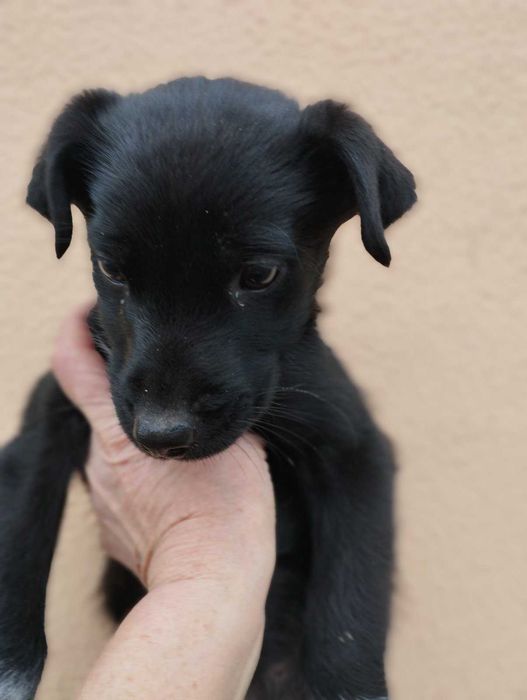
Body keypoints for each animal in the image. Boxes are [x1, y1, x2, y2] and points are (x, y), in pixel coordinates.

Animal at [0, 77, 416, 699]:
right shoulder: (53, 401)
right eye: (111, 269)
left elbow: (351, 603)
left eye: (259, 275)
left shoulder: (355, 448)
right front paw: (10, 661)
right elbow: (25, 510)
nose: (162, 433)